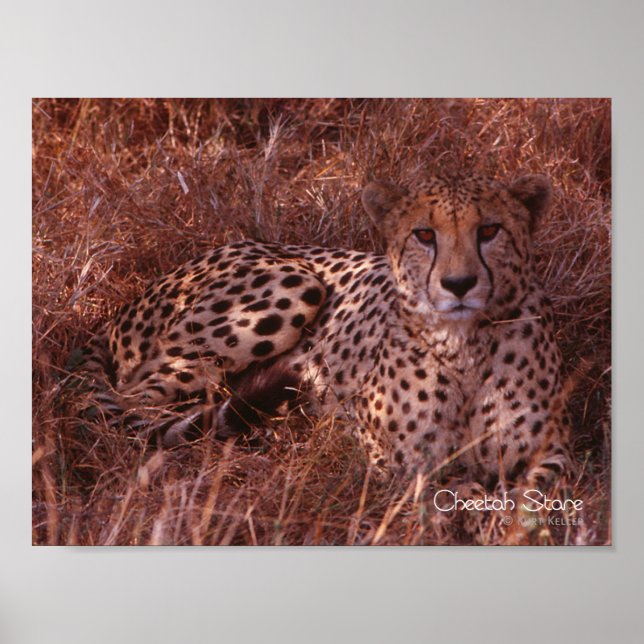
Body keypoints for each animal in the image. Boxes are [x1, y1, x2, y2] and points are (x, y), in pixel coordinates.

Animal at [78, 172, 571, 488]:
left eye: (489, 230)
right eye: (425, 235)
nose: (459, 284)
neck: (464, 345)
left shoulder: (554, 452)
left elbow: (534, 493)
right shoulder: (392, 459)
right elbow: (447, 490)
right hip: (294, 285)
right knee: (132, 403)